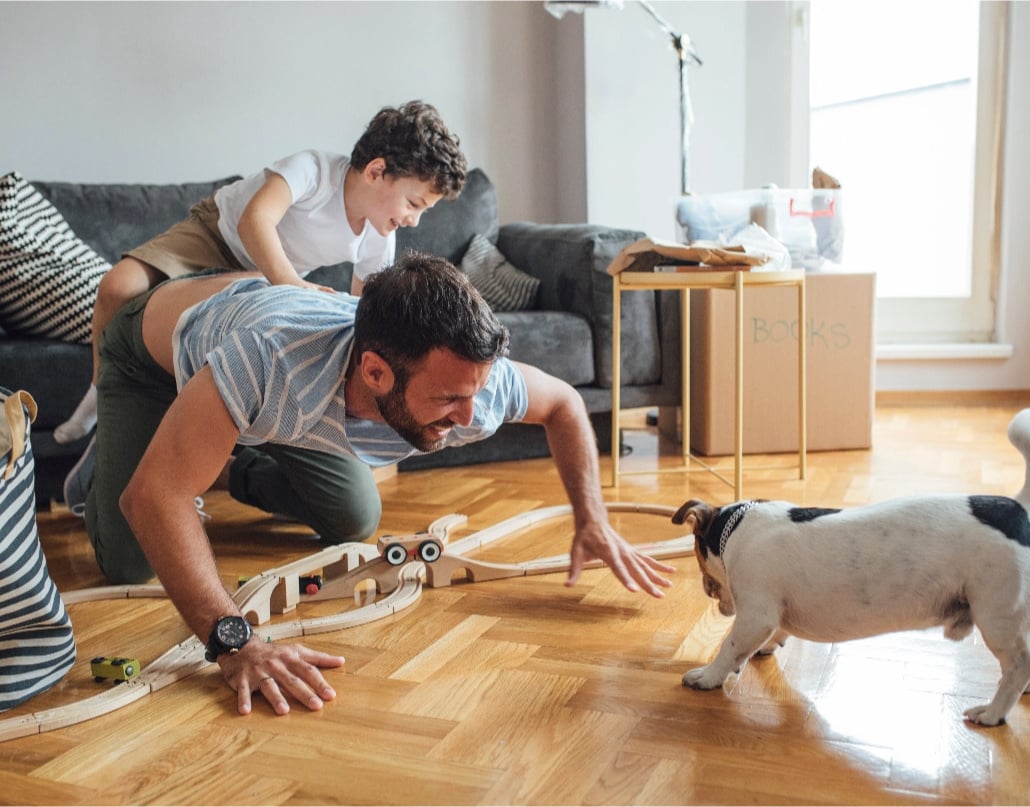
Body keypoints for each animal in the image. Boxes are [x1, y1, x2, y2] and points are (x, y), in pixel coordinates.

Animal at [671, 408, 1030, 729]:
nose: (709, 592)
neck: (737, 528)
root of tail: (1018, 511)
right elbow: (777, 631)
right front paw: (769, 645)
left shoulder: (755, 614)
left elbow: (730, 647)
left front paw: (708, 676)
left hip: (997, 615)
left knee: (1017, 667)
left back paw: (993, 712)